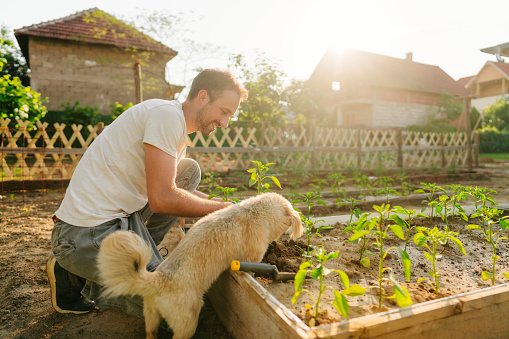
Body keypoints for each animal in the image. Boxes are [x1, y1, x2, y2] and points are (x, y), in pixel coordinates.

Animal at [97, 194, 300, 339]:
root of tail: (159, 280)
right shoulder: (253, 254)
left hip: (151, 315)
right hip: (187, 322)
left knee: (150, 334)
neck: (254, 211)